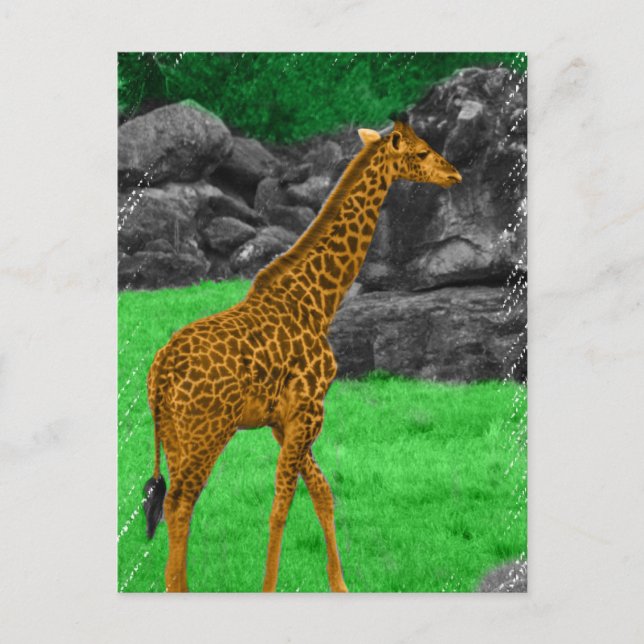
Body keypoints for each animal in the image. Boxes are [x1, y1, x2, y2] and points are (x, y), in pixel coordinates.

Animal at [142, 114, 462, 592]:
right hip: (208, 431)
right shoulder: (310, 407)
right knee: (181, 502)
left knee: (172, 504)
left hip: (176, 435)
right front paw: (270, 588)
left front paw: (341, 586)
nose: (454, 174)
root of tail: (160, 371)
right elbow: (283, 503)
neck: (319, 300)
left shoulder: (284, 418)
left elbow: (321, 491)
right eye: (422, 151)